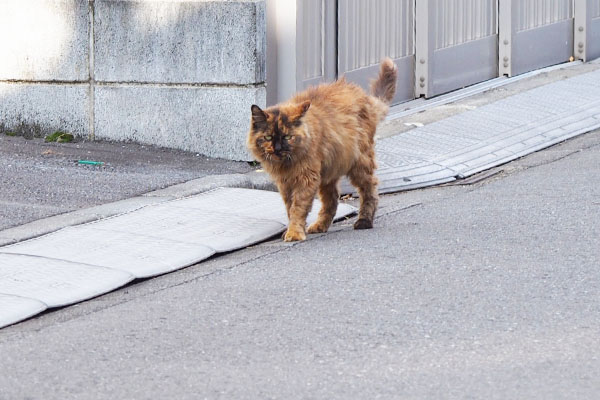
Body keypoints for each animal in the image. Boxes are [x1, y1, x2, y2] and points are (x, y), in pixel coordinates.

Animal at [248, 57, 398, 242]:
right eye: (268, 137)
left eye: (287, 137)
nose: (277, 148)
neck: (286, 165)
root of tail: (363, 96)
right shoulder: (285, 184)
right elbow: (290, 208)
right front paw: (292, 229)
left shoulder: (306, 179)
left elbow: (298, 208)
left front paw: (294, 233)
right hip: (329, 174)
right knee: (332, 200)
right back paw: (320, 226)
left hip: (359, 165)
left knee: (370, 190)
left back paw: (364, 221)